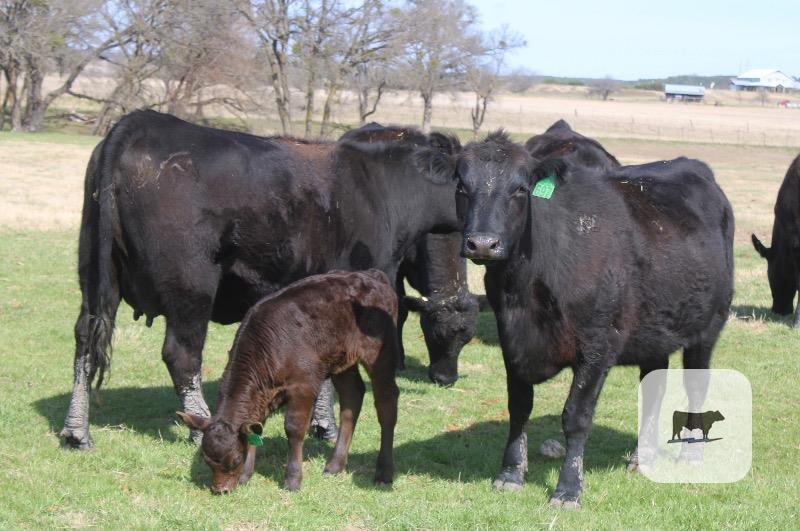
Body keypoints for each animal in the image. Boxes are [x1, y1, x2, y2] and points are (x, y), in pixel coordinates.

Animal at [61, 110, 463, 450]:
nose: (448, 380)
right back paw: (202, 427)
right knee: (181, 355)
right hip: (192, 284)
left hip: (96, 273)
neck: (382, 188)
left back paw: (76, 430)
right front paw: (328, 427)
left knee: (85, 338)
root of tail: (140, 122)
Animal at [178, 269, 399, 493]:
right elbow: (254, 428)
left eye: (235, 460)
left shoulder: (304, 385)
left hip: (380, 352)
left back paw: (384, 472)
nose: (220, 490)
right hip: (341, 360)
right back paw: (335, 465)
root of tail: (370, 275)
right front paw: (245, 477)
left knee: (386, 403)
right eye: (207, 460)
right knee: (352, 395)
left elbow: (293, 428)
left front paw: (292, 480)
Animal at [340, 123, 479, 386]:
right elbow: (399, 310)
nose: (447, 379)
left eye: (466, 340)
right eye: (436, 333)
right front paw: (397, 360)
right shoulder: (394, 266)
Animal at [449, 131, 733, 508]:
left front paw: (568, 489)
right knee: (654, 388)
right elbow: (519, 406)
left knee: (697, 384)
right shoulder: (511, 339)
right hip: (654, 332)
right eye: (462, 186)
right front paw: (510, 474)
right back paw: (641, 457)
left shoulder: (598, 345)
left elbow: (576, 417)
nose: (482, 244)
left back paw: (691, 453)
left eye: (520, 189)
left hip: (708, 327)